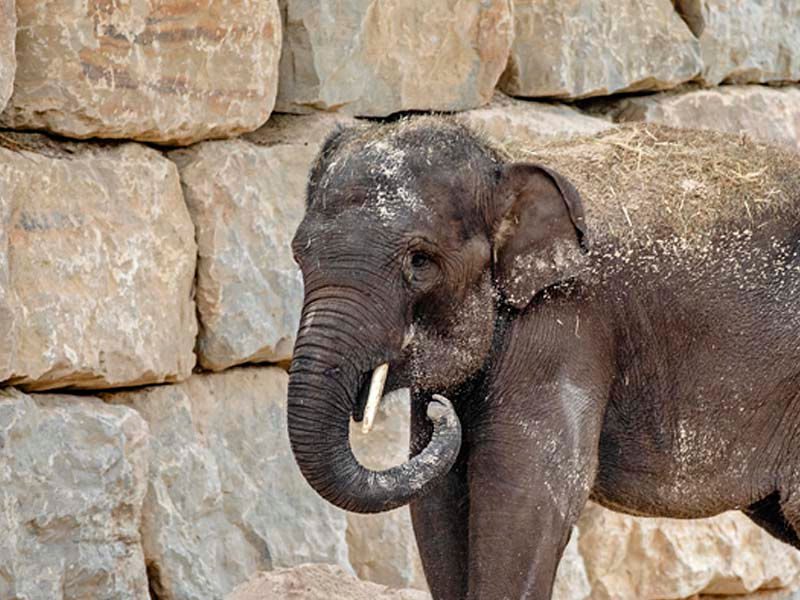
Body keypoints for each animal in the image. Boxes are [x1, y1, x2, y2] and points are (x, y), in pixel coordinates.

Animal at [286, 116, 800, 599]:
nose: (439, 411)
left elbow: (526, 491)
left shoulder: (564, 326)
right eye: (299, 256)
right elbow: (439, 497)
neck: (504, 160)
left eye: (419, 262)